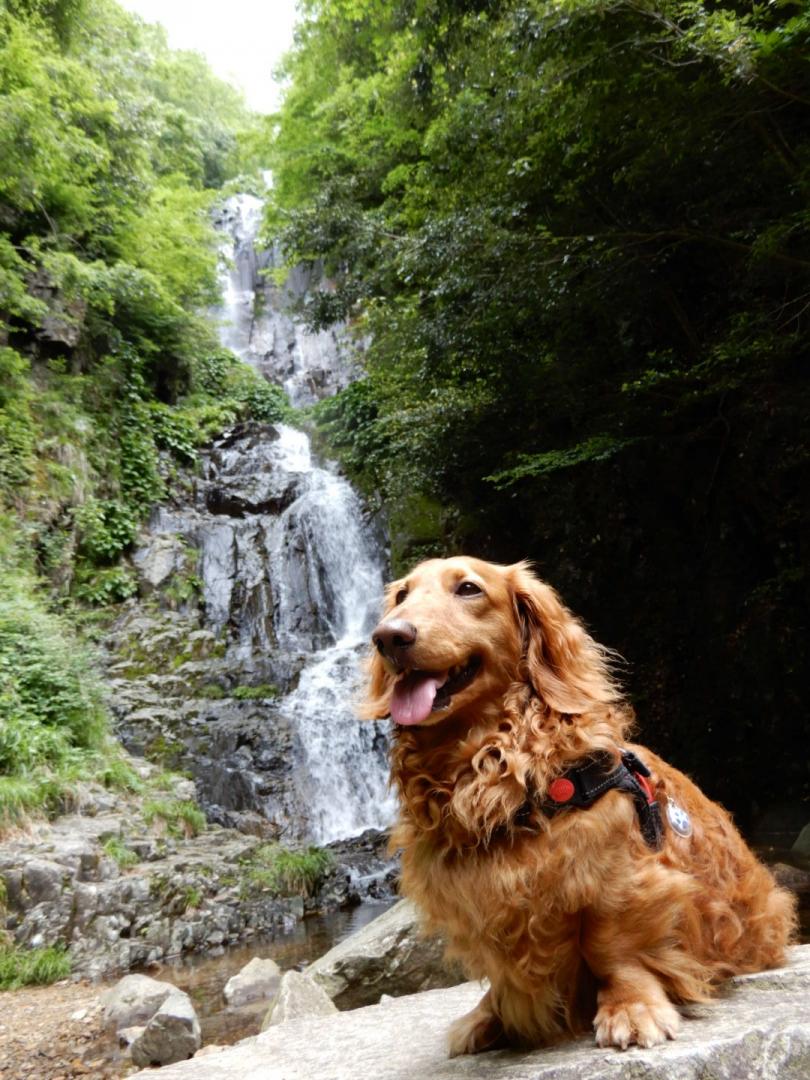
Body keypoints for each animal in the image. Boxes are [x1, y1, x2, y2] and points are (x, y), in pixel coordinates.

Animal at [362, 557, 799, 1054]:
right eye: (401, 596)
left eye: (469, 589)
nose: (389, 636)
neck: (495, 773)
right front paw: (490, 1014)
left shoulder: (617, 880)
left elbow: (612, 948)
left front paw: (630, 1008)